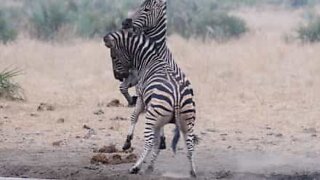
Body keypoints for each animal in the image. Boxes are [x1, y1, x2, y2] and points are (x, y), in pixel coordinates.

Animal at [104, 28, 196, 177]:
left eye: (113, 56)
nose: (117, 77)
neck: (149, 60)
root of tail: (177, 95)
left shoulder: (141, 96)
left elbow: (134, 116)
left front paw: (127, 141)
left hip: (152, 117)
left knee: (148, 141)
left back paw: (136, 167)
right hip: (187, 119)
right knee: (190, 144)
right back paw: (192, 171)